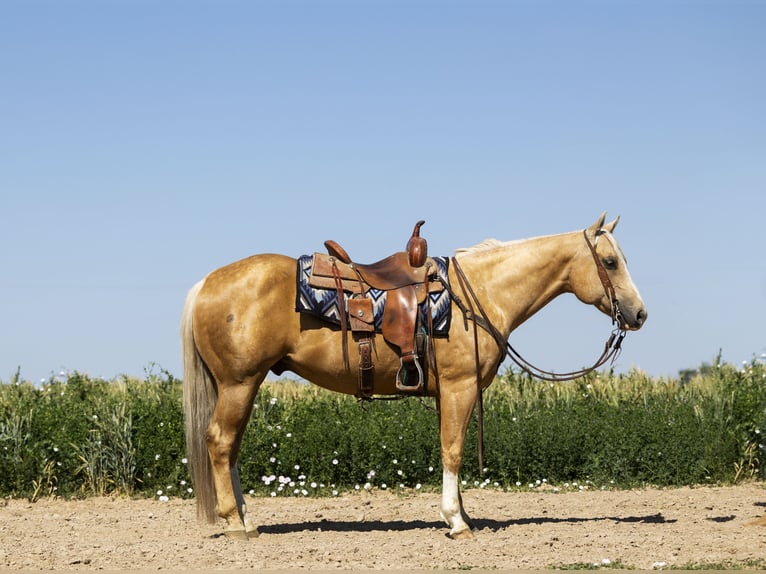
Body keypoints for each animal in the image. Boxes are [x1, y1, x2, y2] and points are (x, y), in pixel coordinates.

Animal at [180, 212, 648, 540]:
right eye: (610, 262)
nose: (640, 314)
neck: (481, 293)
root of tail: (205, 283)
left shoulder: (449, 394)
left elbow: (451, 448)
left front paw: (462, 513)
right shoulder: (460, 387)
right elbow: (453, 451)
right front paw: (456, 522)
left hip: (243, 385)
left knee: (230, 448)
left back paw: (246, 519)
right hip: (240, 384)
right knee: (220, 442)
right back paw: (234, 523)